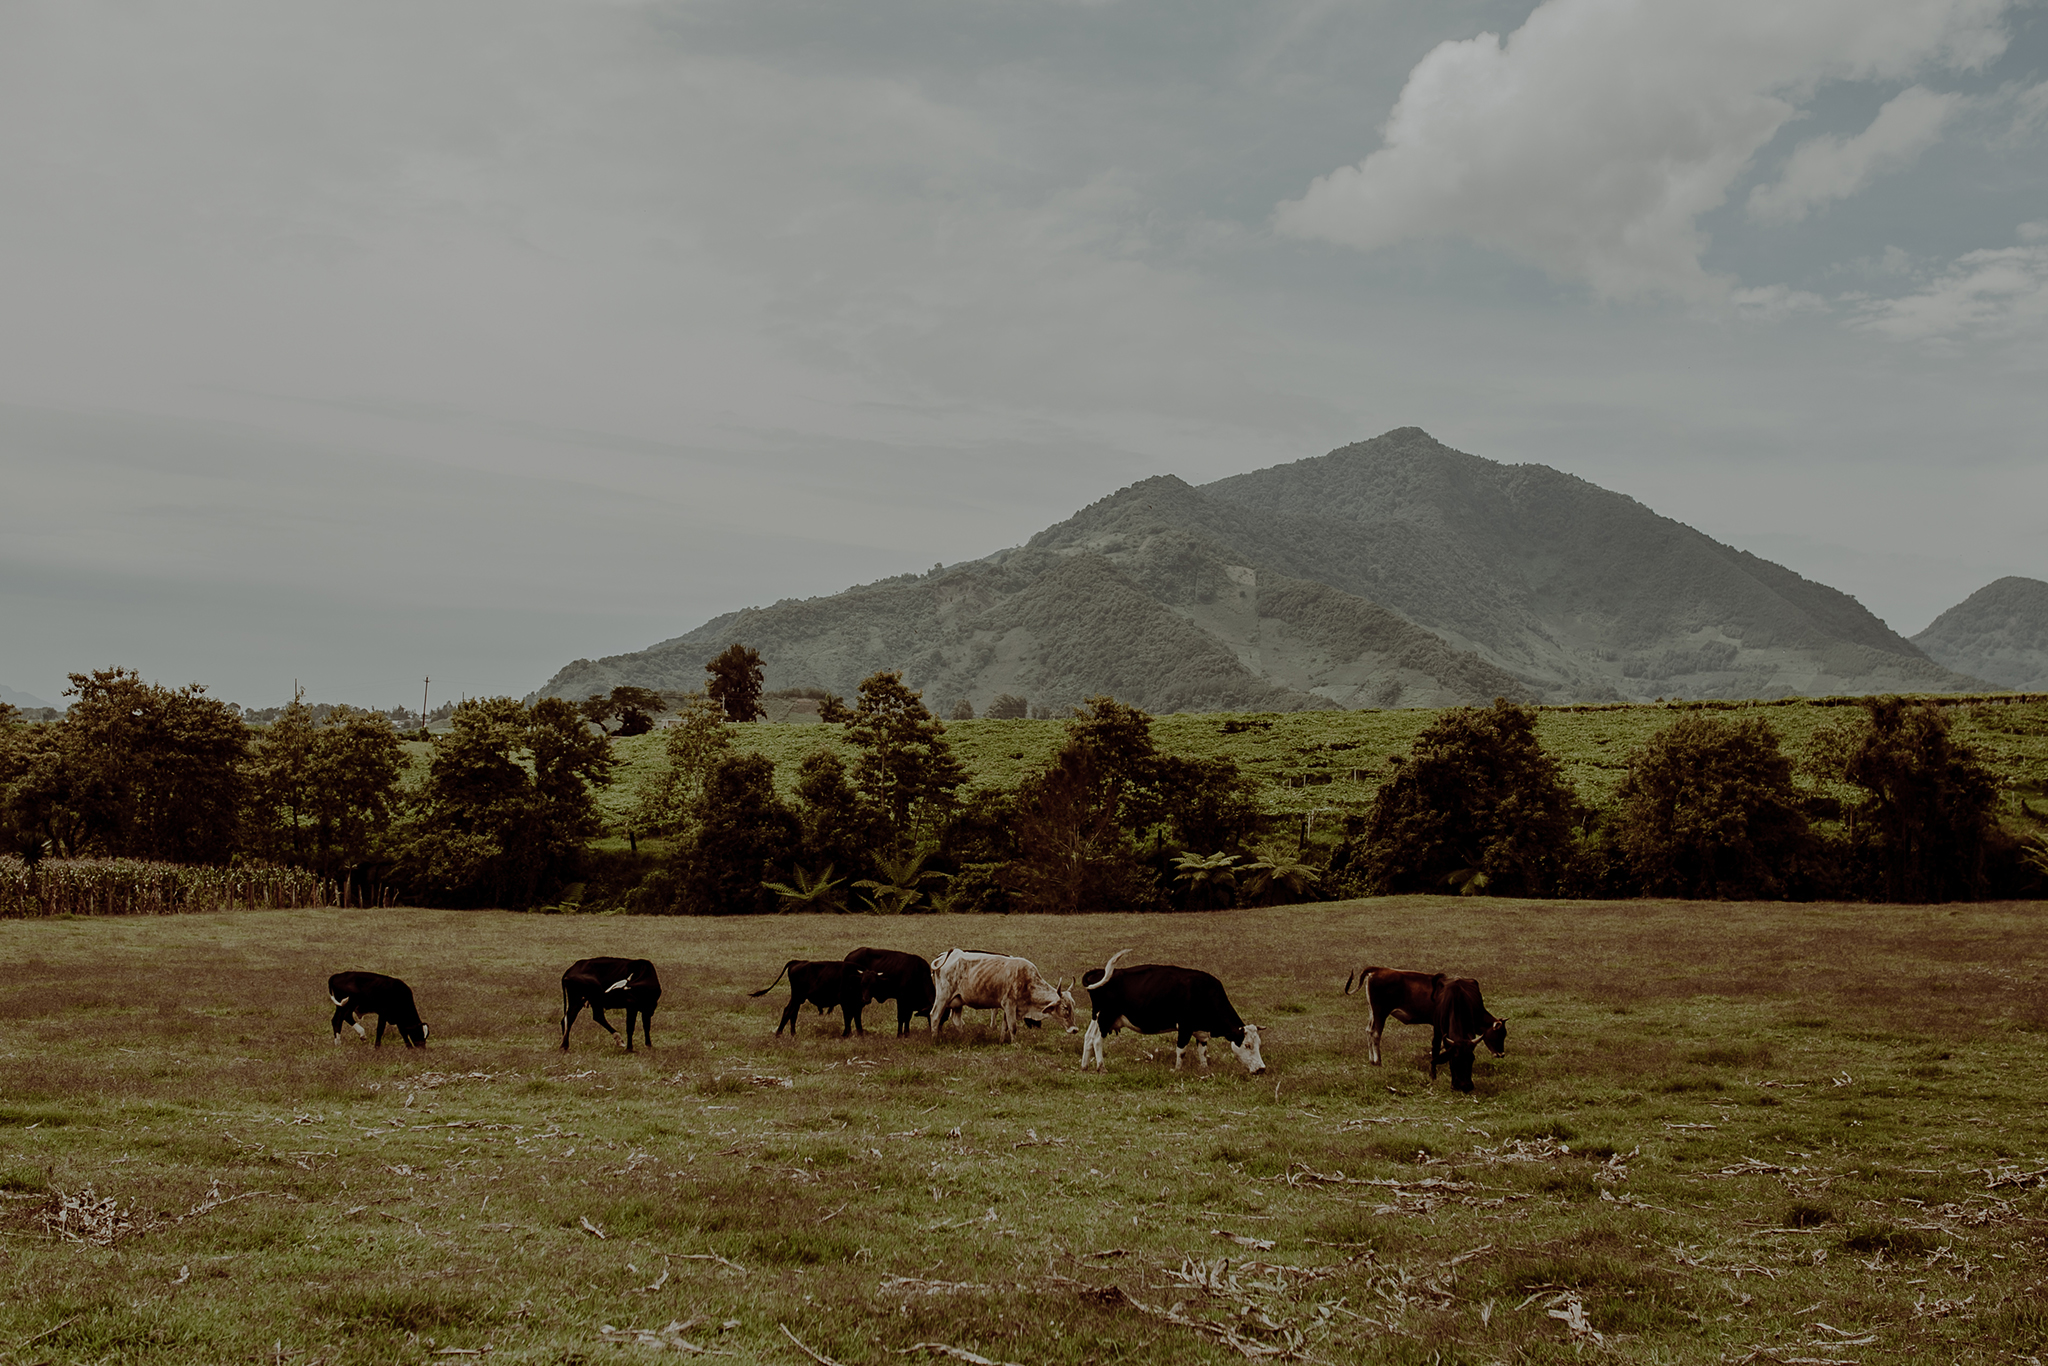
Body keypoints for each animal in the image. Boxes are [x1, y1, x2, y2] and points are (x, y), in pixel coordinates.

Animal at [933, 946, 1081, 1040]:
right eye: (1065, 1007)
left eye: (1073, 1006)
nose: (1075, 1030)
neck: (1027, 982)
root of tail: (950, 954)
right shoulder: (1010, 1005)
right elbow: (1013, 1027)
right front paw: (1015, 1045)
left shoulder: (1007, 1008)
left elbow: (1005, 1027)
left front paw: (1001, 1042)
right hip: (943, 997)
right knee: (935, 1016)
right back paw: (935, 1040)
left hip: (958, 1001)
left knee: (957, 1021)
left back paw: (964, 1037)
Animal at [1073, 950, 1261, 1081]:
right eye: (1247, 1045)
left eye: (1259, 1043)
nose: (1262, 1069)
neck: (1204, 991)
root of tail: (1099, 972)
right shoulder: (1185, 1027)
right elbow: (1181, 1050)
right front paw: (1177, 1070)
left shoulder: (1200, 1031)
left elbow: (1203, 1051)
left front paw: (1205, 1069)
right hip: (1106, 1017)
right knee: (1097, 1040)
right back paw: (1101, 1068)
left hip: (1097, 1017)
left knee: (1088, 1037)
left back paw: (1084, 1066)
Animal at [1343, 966, 1507, 1097]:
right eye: (1499, 1034)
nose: (1501, 1054)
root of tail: (1377, 969)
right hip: (1380, 1012)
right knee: (1376, 1033)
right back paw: (1378, 1061)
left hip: (1373, 1012)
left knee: (1369, 1031)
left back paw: (1372, 1060)